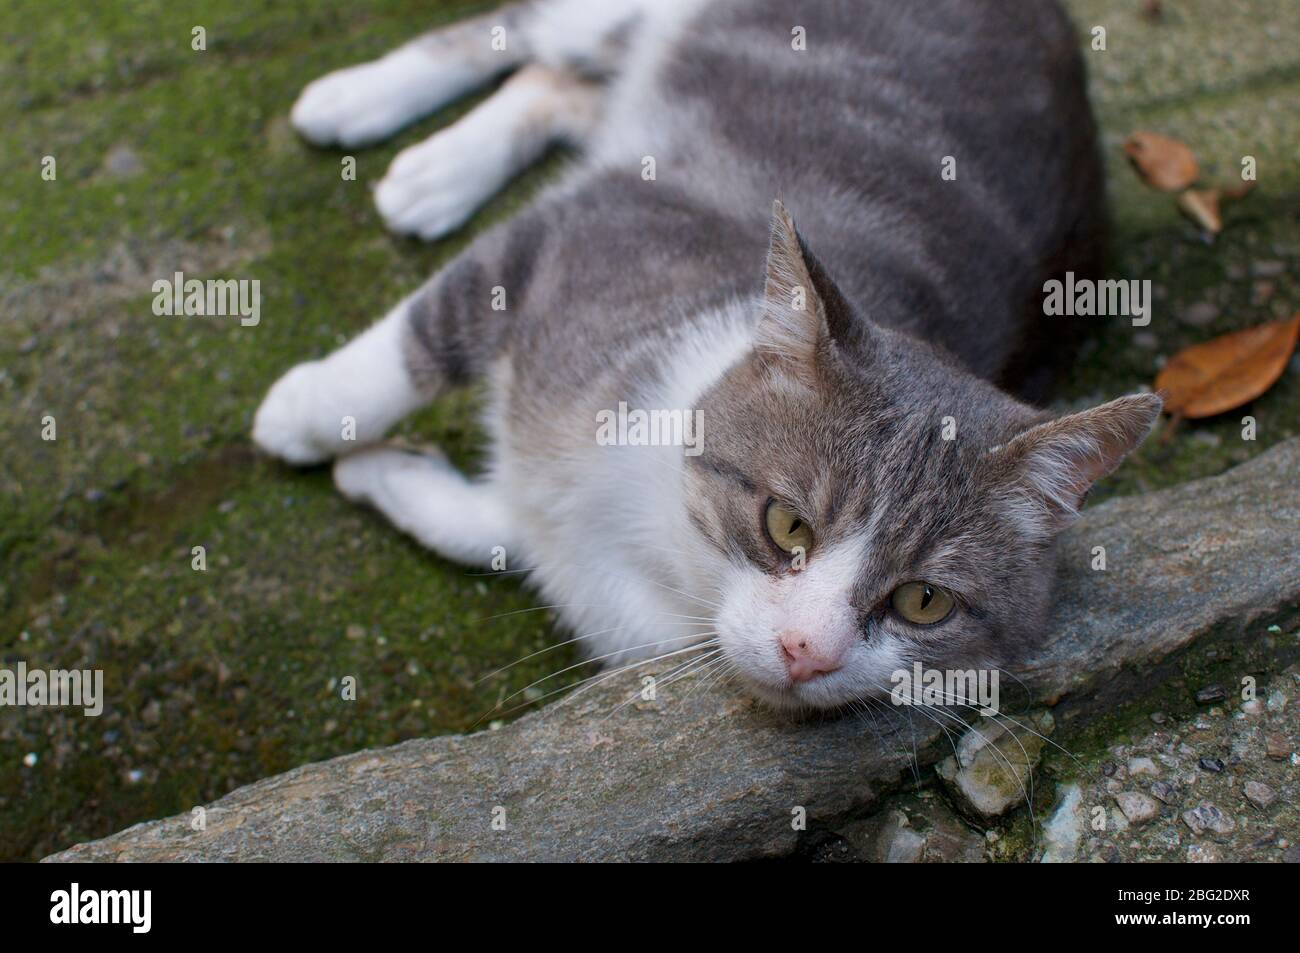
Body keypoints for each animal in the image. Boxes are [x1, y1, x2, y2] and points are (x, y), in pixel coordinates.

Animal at [250, 0, 1159, 712]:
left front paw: (386, 472)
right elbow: (423, 338)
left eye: (924, 600)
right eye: (787, 524)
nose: (807, 650)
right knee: (534, 33)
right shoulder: (579, 232)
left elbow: (498, 526)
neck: (662, 548)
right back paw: (373, 113)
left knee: (563, 82)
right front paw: (309, 413)